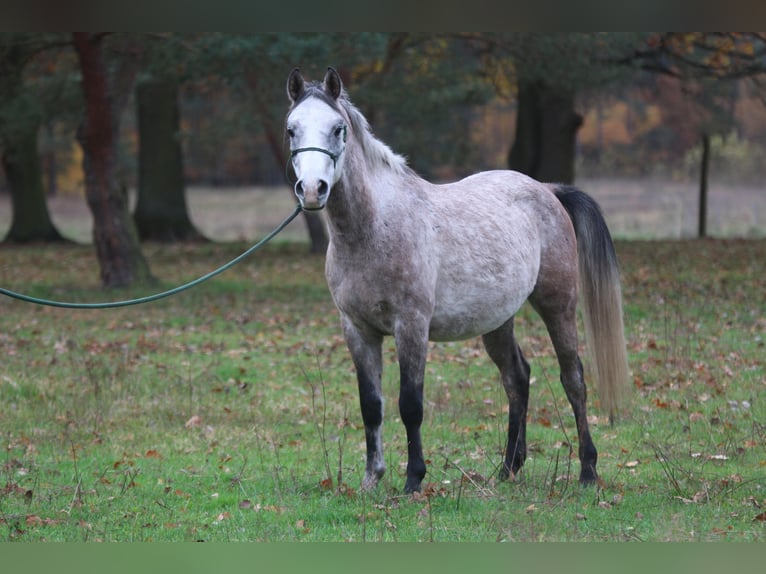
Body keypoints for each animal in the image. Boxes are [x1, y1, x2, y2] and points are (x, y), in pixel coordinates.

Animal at [286, 67, 632, 496]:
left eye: (337, 129)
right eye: (291, 130)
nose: (312, 190)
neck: (374, 227)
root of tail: (547, 190)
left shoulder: (411, 326)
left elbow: (410, 405)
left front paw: (413, 479)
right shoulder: (357, 329)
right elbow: (371, 405)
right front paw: (371, 478)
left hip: (559, 306)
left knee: (574, 381)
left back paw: (587, 470)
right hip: (498, 321)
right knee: (517, 378)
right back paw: (507, 468)